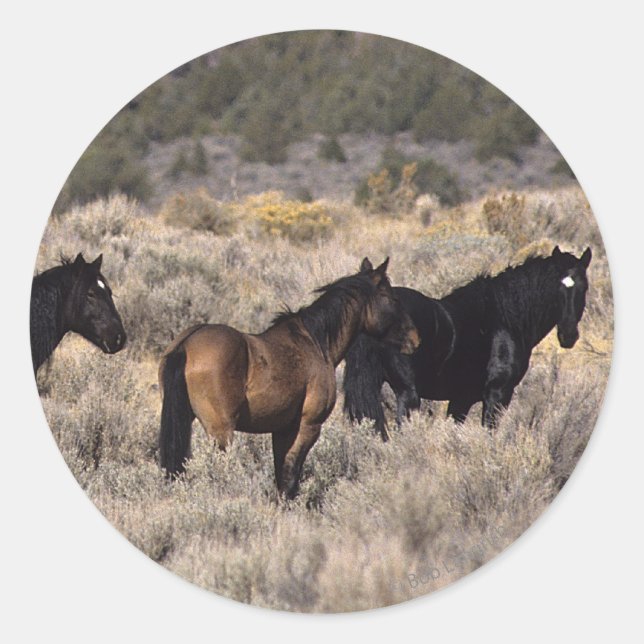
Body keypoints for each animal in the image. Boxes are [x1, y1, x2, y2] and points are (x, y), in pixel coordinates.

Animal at [158, 257, 420, 498]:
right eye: (392, 298)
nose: (415, 338)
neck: (315, 342)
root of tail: (186, 344)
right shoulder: (307, 426)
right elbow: (290, 475)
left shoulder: (281, 429)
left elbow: (280, 473)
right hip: (221, 431)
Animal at [343, 246, 592, 434]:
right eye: (556, 287)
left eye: (584, 287)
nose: (569, 335)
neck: (505, 318)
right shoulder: (497, 395)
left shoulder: (461, 400)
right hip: (408, 395)